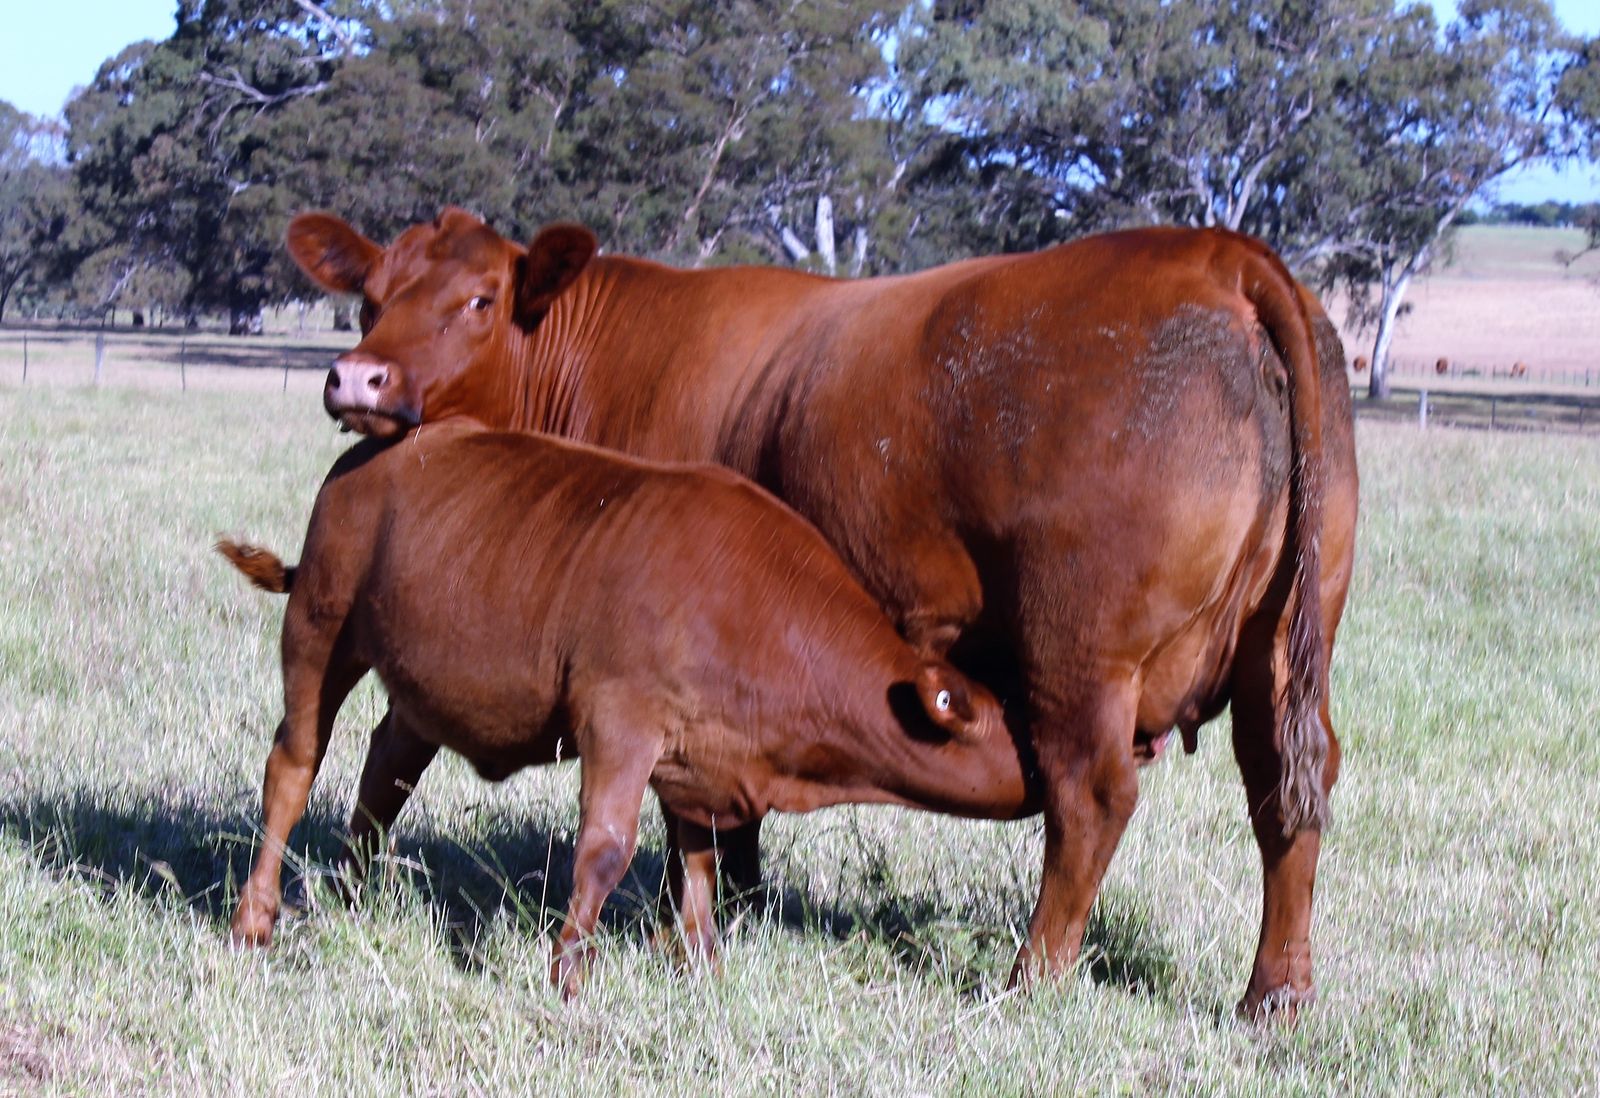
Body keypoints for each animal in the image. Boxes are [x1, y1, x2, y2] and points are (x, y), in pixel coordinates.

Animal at [219, 420, 1033, 999]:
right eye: (1008, 727)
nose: (1052, 778)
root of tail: (387, 444)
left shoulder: (696, 757)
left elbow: (697, 866)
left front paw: (705, 970)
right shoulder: (620, 722)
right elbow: (605, 850)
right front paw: (568, 976)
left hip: (421, 691)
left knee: (384, 774)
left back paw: (353, 892)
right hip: (320, 627)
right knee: (293, 765)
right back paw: (253, 919)